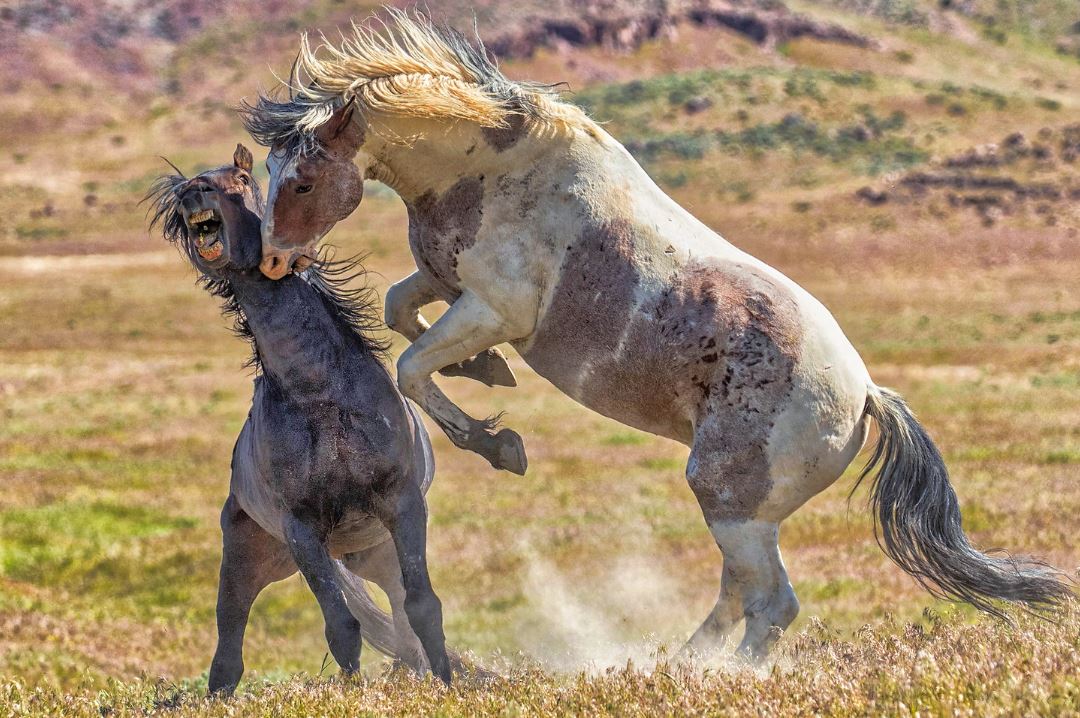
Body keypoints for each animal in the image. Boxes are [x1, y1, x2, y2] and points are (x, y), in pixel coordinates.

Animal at [145, 144, 449, 691]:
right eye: (197, 182)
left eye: (241, 178)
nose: (191, 193)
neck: (318, 391)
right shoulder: (301, 528)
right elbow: (341, 627)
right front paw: (353, 695)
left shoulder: (402, 503)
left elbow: (423, 606)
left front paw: (447, 686)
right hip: (249, 560)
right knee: (229, 646)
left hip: (376, 551)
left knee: (400, 613)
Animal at [238, 12, 1071, 660]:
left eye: (302, 181)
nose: (273, 262)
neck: (493, 170)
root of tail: (865, 395)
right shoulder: (448, 286)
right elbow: (397, 310)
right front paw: (490, 376)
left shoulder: (495, 307)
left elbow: (413, 366)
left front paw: (499, 444)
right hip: (746, 516)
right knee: (741, 596)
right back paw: (682, 664)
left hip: (731, 501)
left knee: (771, 604)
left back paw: (718, 679)